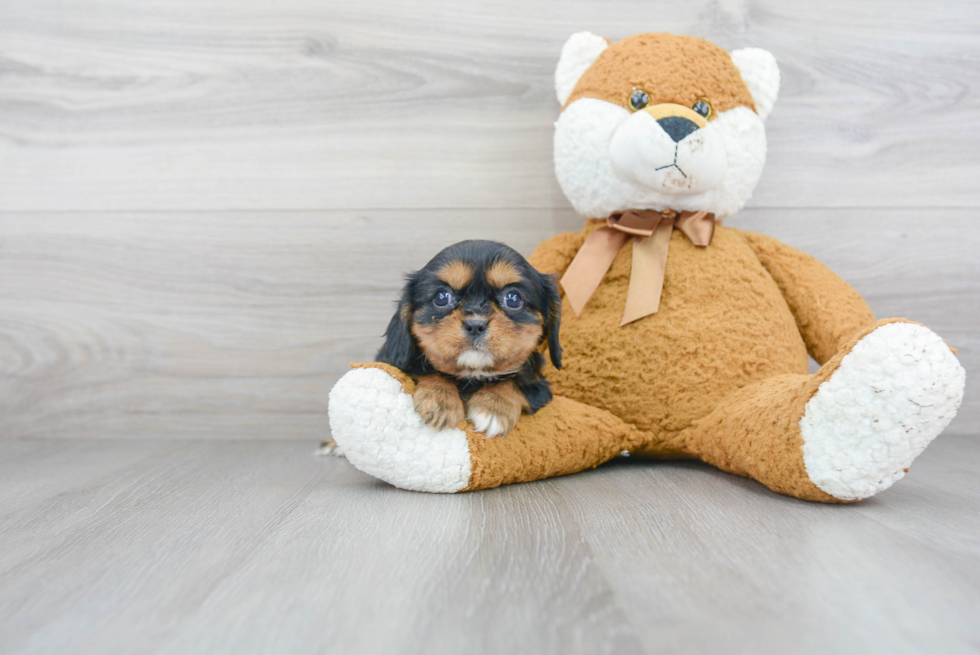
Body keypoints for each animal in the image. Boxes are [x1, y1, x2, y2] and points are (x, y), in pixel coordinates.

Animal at [378, 240, 564, 436]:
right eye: (441, 297)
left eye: (512, 298)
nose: (475, 326)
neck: (473, 375)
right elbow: (429, 371)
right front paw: (440, 399)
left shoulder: (540, 386)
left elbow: (513, 382)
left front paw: (494, 406)